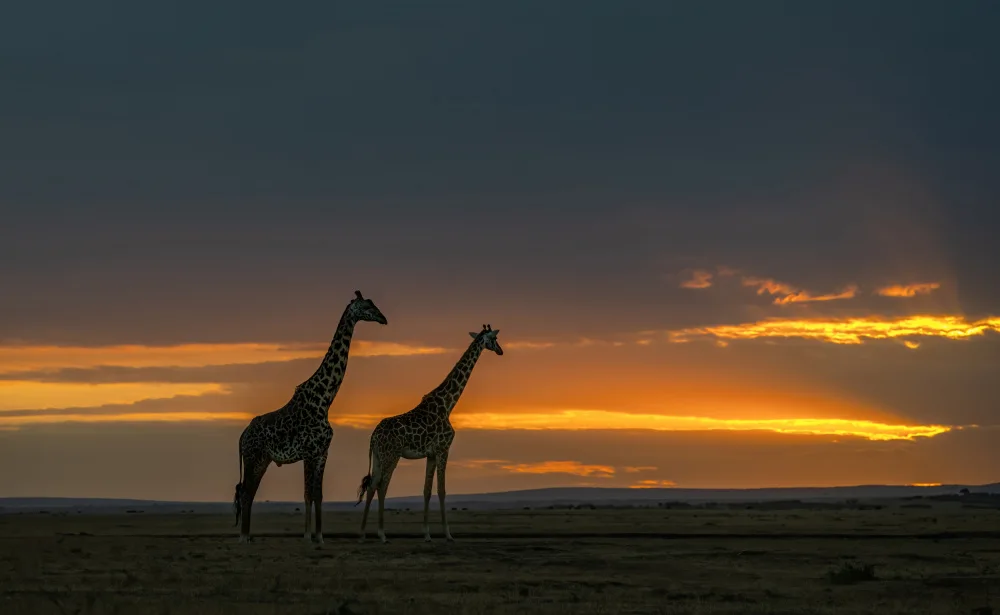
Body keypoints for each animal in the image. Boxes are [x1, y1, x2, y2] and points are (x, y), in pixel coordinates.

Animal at [233, 290, 388, 545]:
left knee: (248, 493)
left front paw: (320, 536)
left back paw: (246, 536)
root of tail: (242, 435)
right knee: (246, 493)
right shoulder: (308, 452)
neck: (324, 400)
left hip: (262, 459)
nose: (383, 319)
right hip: (253, 457)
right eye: (367, 307)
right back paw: (244, 537)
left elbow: (318, 494)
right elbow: (307, 494)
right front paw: (307, 536)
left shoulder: (323, 452)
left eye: (374, 304)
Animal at [355, 324, 503, 543]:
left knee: (372, 486)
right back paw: (382, 534)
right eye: (494, 339)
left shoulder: (431, 454)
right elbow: (441, 491)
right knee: (382, 486)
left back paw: (363, 534)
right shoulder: (443, 449)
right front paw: (448, 534)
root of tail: (373, 437)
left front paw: (426, 534)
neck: (448, 404)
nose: (500, 351)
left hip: (378, 457)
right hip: (392, 455)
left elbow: (426, 490)